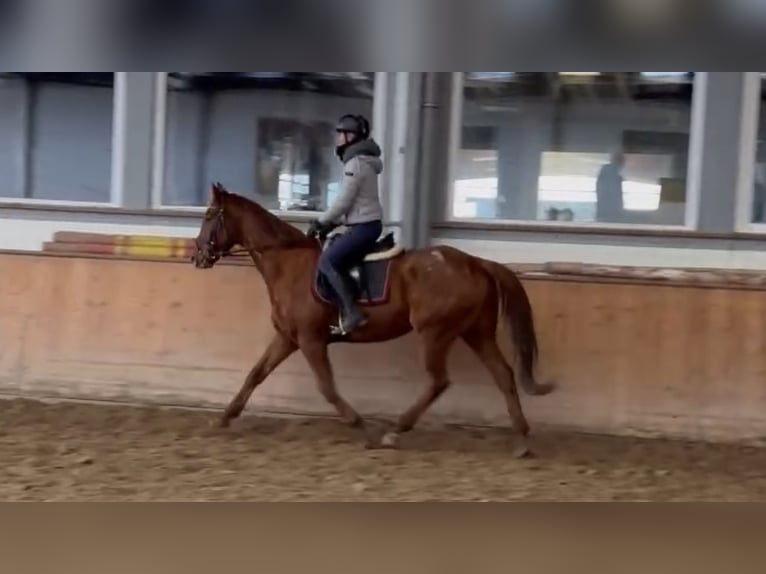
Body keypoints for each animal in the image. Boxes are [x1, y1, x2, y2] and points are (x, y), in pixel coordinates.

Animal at [192, 182, 552, 456]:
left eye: (210, 215)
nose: (197, 255)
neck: (288, 263)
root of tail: (478, 263)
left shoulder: (310, 339)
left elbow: (327, 387)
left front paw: (361, 427)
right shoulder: (287, 338)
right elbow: (255, 375)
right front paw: (224, 417)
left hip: (435, 333)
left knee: (439, 381)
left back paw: (395, 430)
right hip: (476, 332)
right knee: (503, 375)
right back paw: (522, 439)